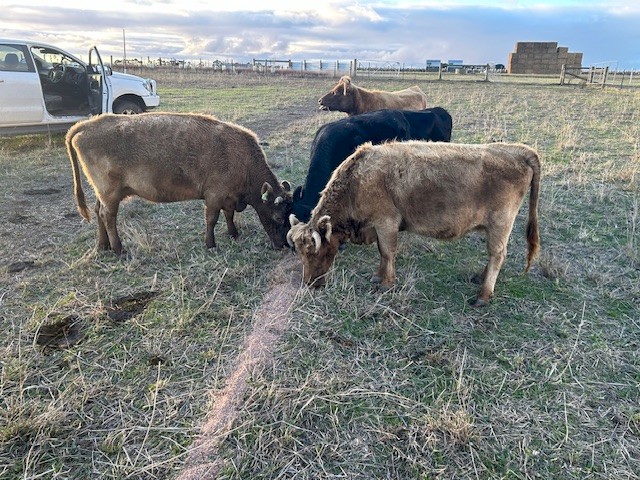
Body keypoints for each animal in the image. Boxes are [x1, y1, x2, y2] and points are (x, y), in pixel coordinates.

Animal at [66, 112, 292, 255]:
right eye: (278, 217)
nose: (284, 245)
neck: (242, 158)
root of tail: (89, 124)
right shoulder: (214, 196)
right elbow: (212, 219)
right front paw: (211, 244)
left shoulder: (228, 197)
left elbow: (229, 215)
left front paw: (233, 234)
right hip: (110, 193)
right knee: (108, 216)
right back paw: (119, 249)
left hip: (102, 193)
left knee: (98, 212)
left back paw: (102, 246)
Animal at [287, 141, 541, 307]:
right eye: (299, 252)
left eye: (313, 251)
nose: (309, 283)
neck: (357, 180)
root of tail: (519, 150)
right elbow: (382, 253)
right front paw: (378, 276)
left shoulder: (386, 222)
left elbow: (387, 252)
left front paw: (386, 283)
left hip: (500, 224)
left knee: (497, 255)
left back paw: (483, 295)